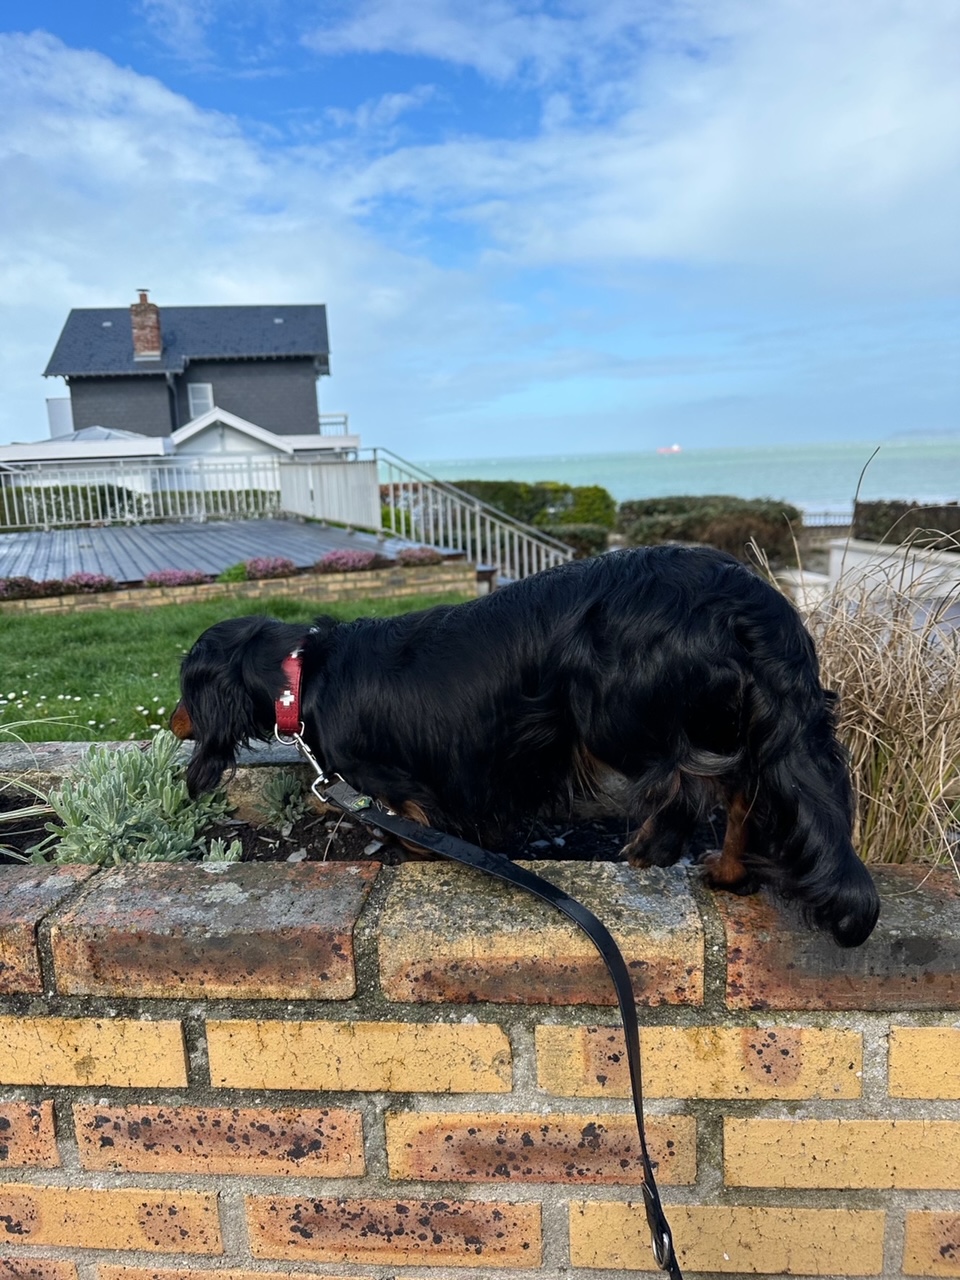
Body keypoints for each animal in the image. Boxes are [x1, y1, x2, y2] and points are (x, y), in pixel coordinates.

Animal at [171, 545, 880, 947]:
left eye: (181, 687)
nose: (176, 722)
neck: (304, 672)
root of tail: (751, 597)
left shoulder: (405, 781)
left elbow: (410, 823)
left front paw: (413, 851)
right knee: (744, 790)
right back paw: (729, 871)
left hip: (617, 713)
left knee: (697, 786)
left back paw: (650, 851)